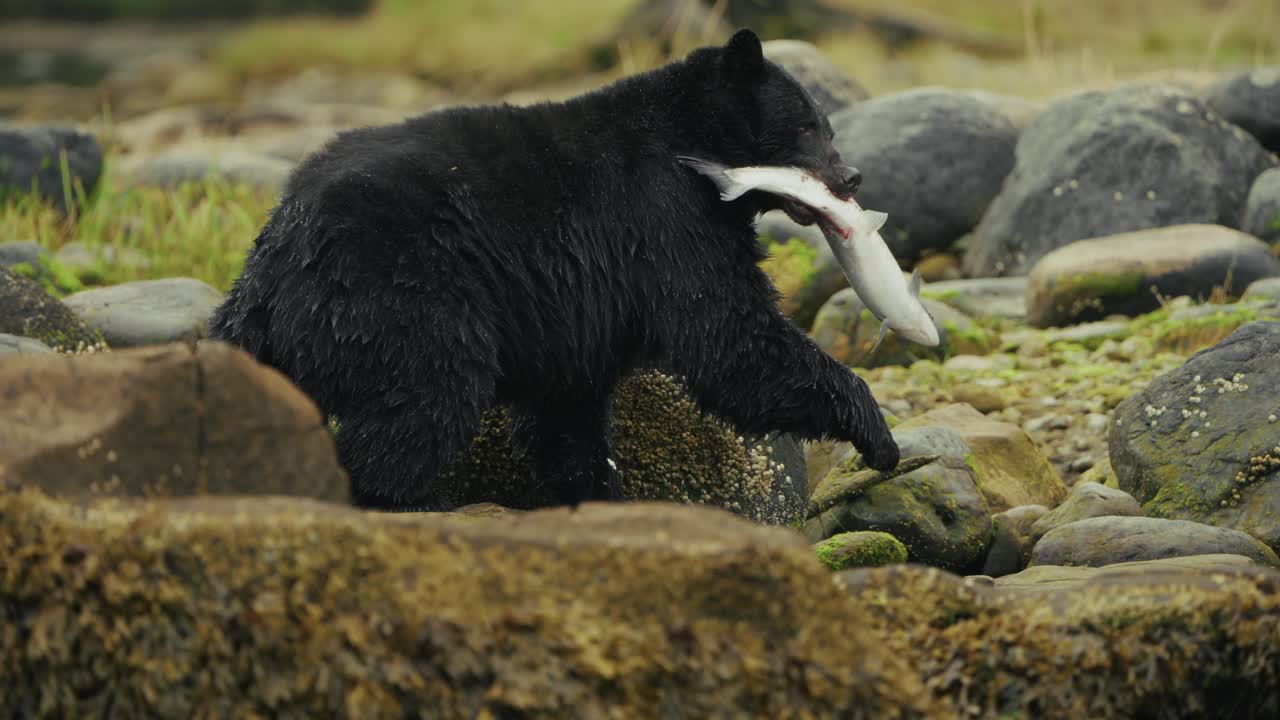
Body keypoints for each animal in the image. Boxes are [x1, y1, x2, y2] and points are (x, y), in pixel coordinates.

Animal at [207, 28, 900, 512]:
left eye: (827, 126)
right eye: (808, 127)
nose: (852, 177)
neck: (690, 144)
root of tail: (277, 255)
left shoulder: (578, 309)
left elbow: (571, 407)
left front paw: (595, 492)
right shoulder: (666, 216)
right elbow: (729, 337)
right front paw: (876, 430)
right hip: (404, 290)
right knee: (424, 396)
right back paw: (410, 499)